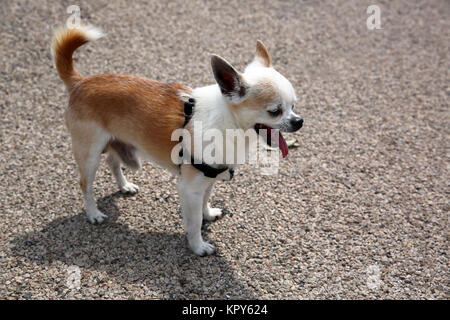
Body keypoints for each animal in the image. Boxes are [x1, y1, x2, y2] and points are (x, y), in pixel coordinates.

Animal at [52, 25, 302, 256]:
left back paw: (124, 186)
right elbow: (194, 222)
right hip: (89, 154)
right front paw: (198, 246)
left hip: (117, 142)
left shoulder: (208, 178)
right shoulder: (189, 187)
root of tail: (80, 82)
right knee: (85, 184)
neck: (228, 122)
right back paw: (93, 214)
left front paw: (208, 214)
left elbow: (205, 201)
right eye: (275, 111)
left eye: (293, 105)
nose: (299, 121)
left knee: (113, 162)